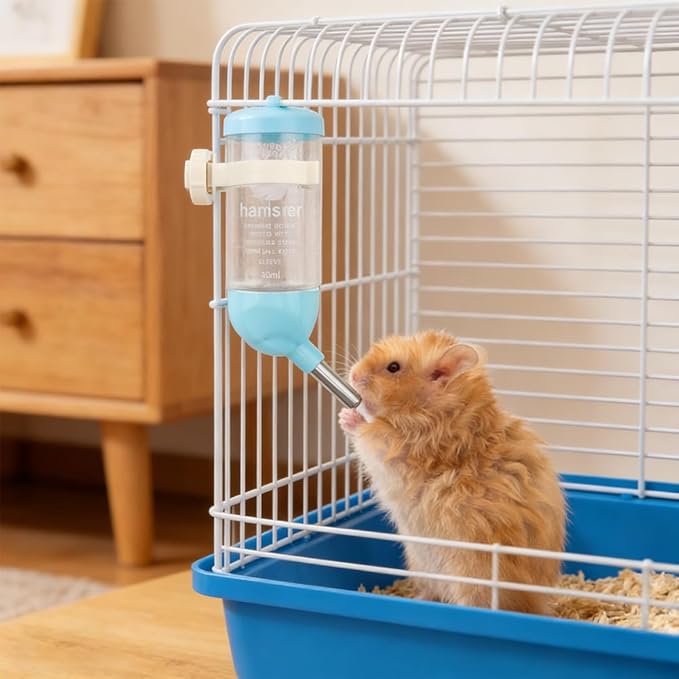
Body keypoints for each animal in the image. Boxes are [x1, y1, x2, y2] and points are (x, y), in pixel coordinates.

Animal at [339, 330, 566, 615]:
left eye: (393, 367)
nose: (352, 374)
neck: (432, 410)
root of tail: (535, 605)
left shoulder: (396, 453)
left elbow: (369, 437)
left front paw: (348, 416)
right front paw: (344, 412)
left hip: (472, 578)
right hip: (420, 565)